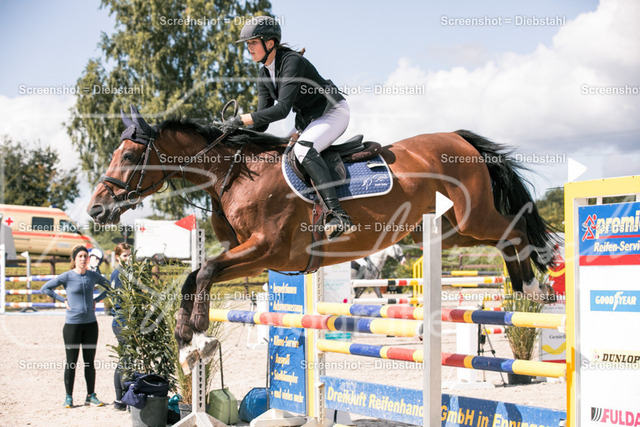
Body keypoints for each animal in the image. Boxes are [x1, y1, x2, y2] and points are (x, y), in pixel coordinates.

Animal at [88, 106, 558, 351]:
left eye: (129, 157)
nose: (95, 209)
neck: (234, 174)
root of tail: (459, 139)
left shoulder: (270, 249)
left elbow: (203, 270)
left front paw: (197, 324)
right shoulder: (251, 255)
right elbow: (194, 274)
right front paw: (185, 329)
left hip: (472, 217)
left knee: (516, 230)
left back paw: (537, 285)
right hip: (451, 229)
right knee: (504, 240)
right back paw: (526, 289)